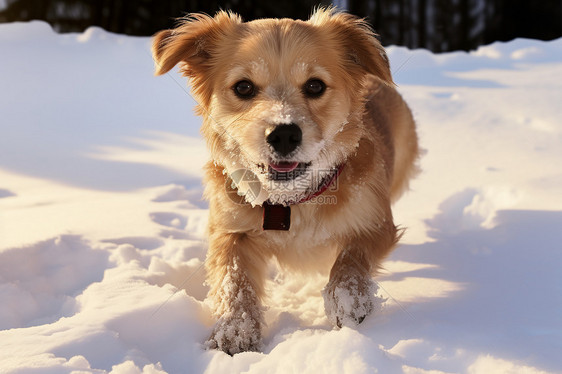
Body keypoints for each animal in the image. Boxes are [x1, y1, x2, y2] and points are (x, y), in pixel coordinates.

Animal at [151, 7, 418, 356]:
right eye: (244, 87)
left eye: (315, 86)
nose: (283, 134)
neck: (290, 200)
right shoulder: (229, 228)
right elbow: (233, 276)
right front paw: (234, 329)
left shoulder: (376, 222)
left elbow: (351, 258)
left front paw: (348, 300)